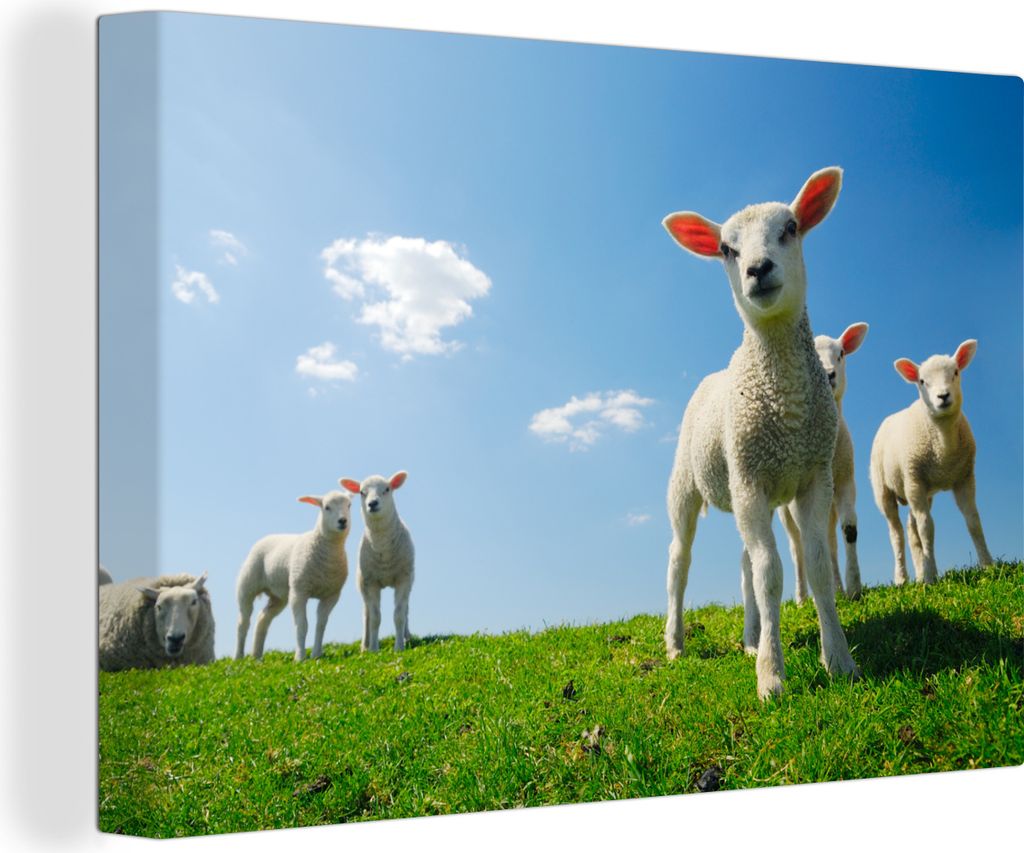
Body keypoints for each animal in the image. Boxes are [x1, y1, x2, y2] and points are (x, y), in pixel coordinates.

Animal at [235, 491, 352, 662]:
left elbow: (321, 625)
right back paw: (238, 657)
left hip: (279, 596)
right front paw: (300, 657)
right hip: (247, 586)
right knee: (243, 622)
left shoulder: (331, 595)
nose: (343, 521)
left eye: (349, 505)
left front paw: (316, 655)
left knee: (263, 618)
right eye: (326, 507)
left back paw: (256, 656)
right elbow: (302, 625)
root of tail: (267, 536)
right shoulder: (299, 591)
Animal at [339, 472, 415, 653]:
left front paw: (399, 647)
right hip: (362, 583)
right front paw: (374, 649)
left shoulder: (403, 579)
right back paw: (365, 646)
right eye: (361, 492)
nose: (372, 503)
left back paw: (407, 637)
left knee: (406, 610)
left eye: (387, 489)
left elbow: (399, 614)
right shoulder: (370, 582)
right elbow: (374, 617)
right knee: (366, 614)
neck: (383, 549)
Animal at [662, 166, 859, 699]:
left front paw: (839, 660)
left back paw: (751, 637)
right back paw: (675, 643)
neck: (785, 405)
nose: (757, 268)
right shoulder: (750, 481)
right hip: (689, 484)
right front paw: (772, 677)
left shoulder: (811, 478)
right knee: (679, 561)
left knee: (745, 562)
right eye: (726, 249)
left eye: (790, 228)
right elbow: (772, 573)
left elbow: (815, 566)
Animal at [778, 323, 869, 603]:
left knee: (829, 542)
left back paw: (837, 587)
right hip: (785, 510)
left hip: (828, 505)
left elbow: (849, 530)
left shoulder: (846, 480)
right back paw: (801, 597)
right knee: (796, 547)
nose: (829, 375)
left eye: (841, 353)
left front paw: (854, 587)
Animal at [869, 340, 992, 584]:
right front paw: (932, 576)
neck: (943, 447)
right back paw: (902, 578)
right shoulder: (914, 479)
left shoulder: (965, 478)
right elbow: (927, 528)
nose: (943, 396)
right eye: (922, 381)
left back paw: (919, 573)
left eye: (955, 372)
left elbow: (973, 521)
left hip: (919, 490)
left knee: (911, 528)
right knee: (897, 533)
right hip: (885, 489)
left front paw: (988, 566)